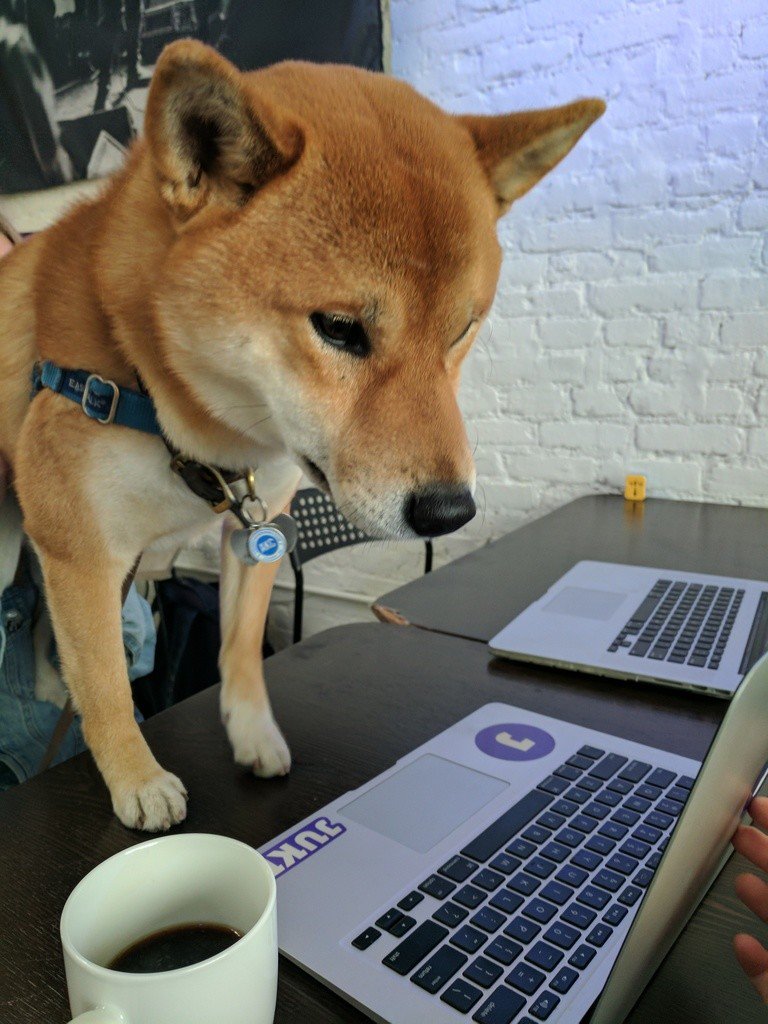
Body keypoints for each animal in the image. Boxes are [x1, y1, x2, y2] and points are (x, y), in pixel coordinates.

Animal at [0, 40, 604, 831]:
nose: (451, 511)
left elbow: (240, 650)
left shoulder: (257, 524)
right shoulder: (80, 550)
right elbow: (105, 683)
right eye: (340, 328)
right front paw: (135, 777)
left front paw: (253, 735)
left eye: (462, 331)